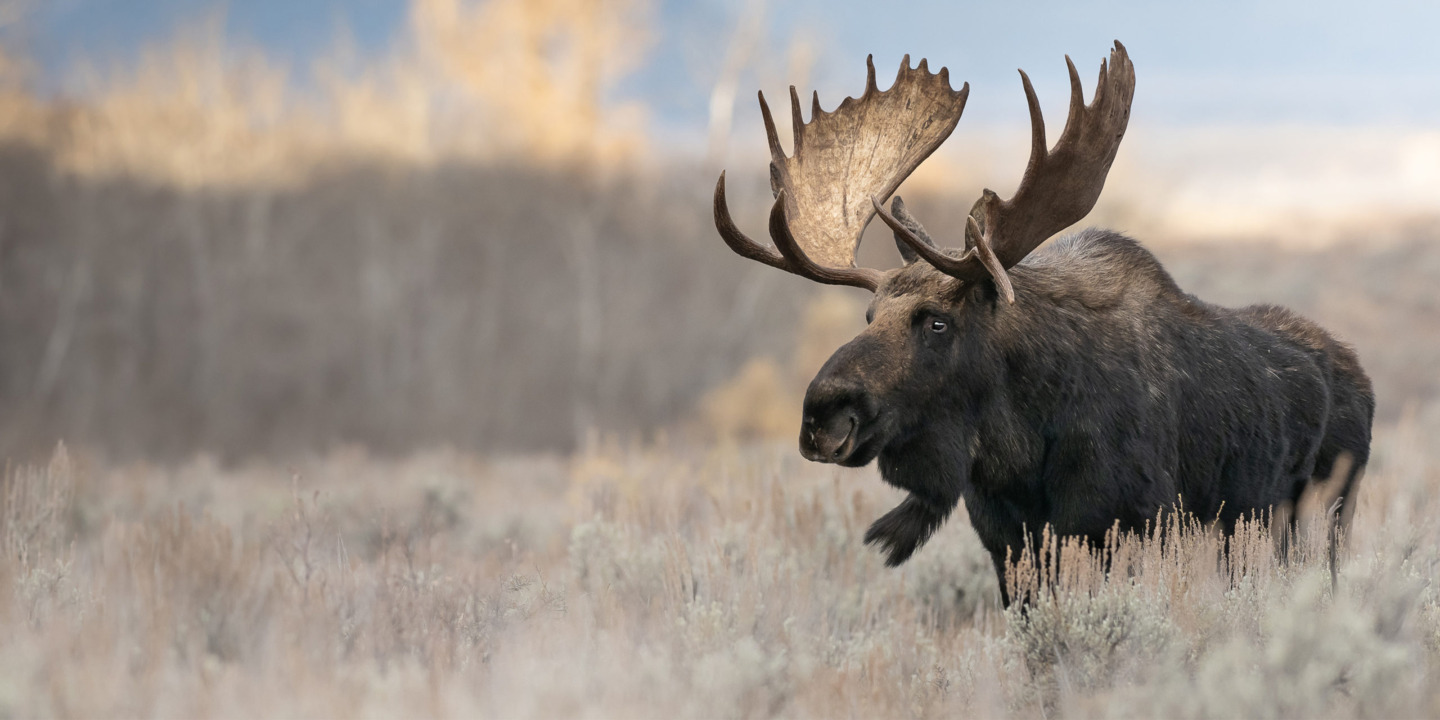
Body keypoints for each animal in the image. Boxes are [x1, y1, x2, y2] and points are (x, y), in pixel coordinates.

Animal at [712, 42, 1374, 607]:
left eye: (937, 323)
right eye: (870, 314)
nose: (823, 416)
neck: (1020, 448)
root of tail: (1362, 377)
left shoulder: (1130, 524)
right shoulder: (1007, 537)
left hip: (1320, 514)